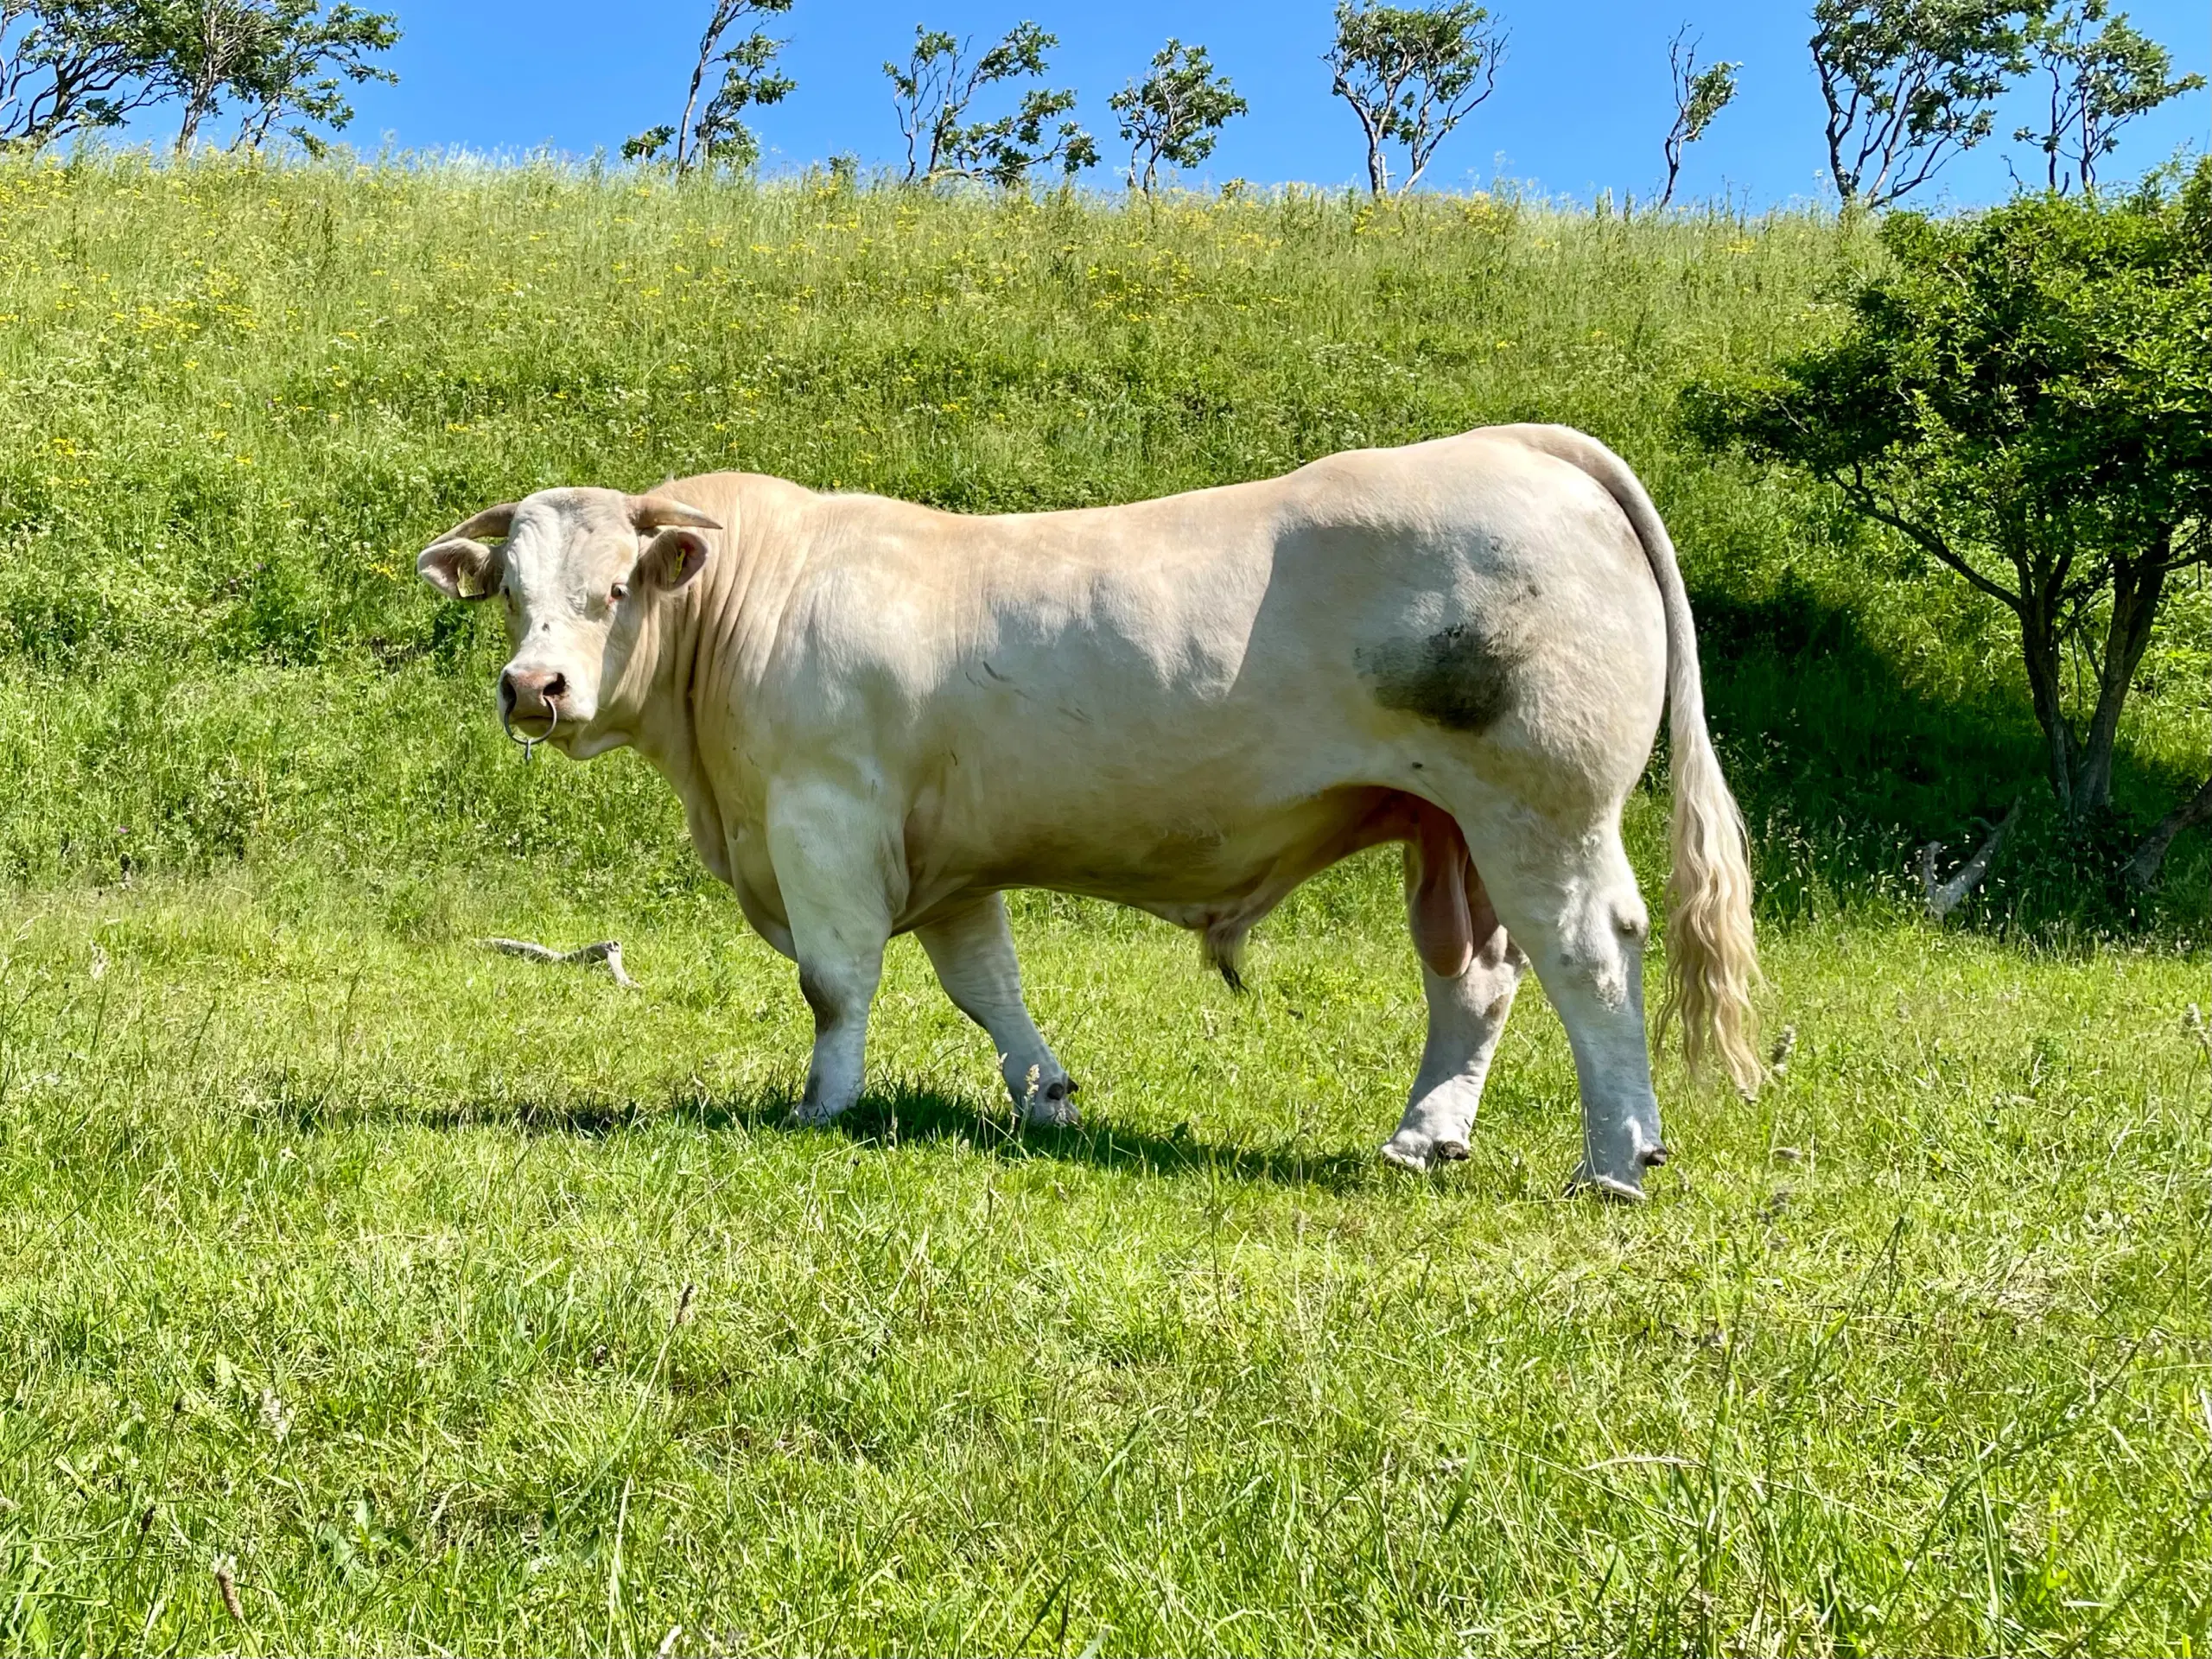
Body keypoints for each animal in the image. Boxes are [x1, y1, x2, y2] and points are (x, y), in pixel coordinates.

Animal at [416, 422, 1760, 1203]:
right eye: (513, 593)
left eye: (613, 589)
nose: (533, 688)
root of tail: (1521, 445)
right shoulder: (947, 857)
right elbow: (984, 983)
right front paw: (1045, 1097)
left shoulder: (823, 816)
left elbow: (836, 984)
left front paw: (822, 1110)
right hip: (1450, 829)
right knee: (1475, 977)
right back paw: (1426, 1138)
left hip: (1543, 807)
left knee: (1590, 957)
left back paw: (1617, 1161)